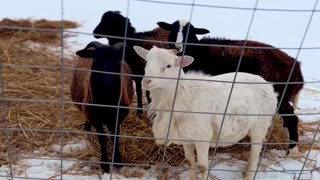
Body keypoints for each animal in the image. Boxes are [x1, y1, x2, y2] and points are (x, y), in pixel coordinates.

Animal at [132, 45, 278, 179]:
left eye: (168, 65)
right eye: (146, 61)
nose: (146, 81)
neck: (181, 95)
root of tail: (268, 85)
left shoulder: (202, 138)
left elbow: (202, 168)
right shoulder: (185, 137)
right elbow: (190, 161)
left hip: (260, 126)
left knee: (256, 152)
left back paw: (249, 174)